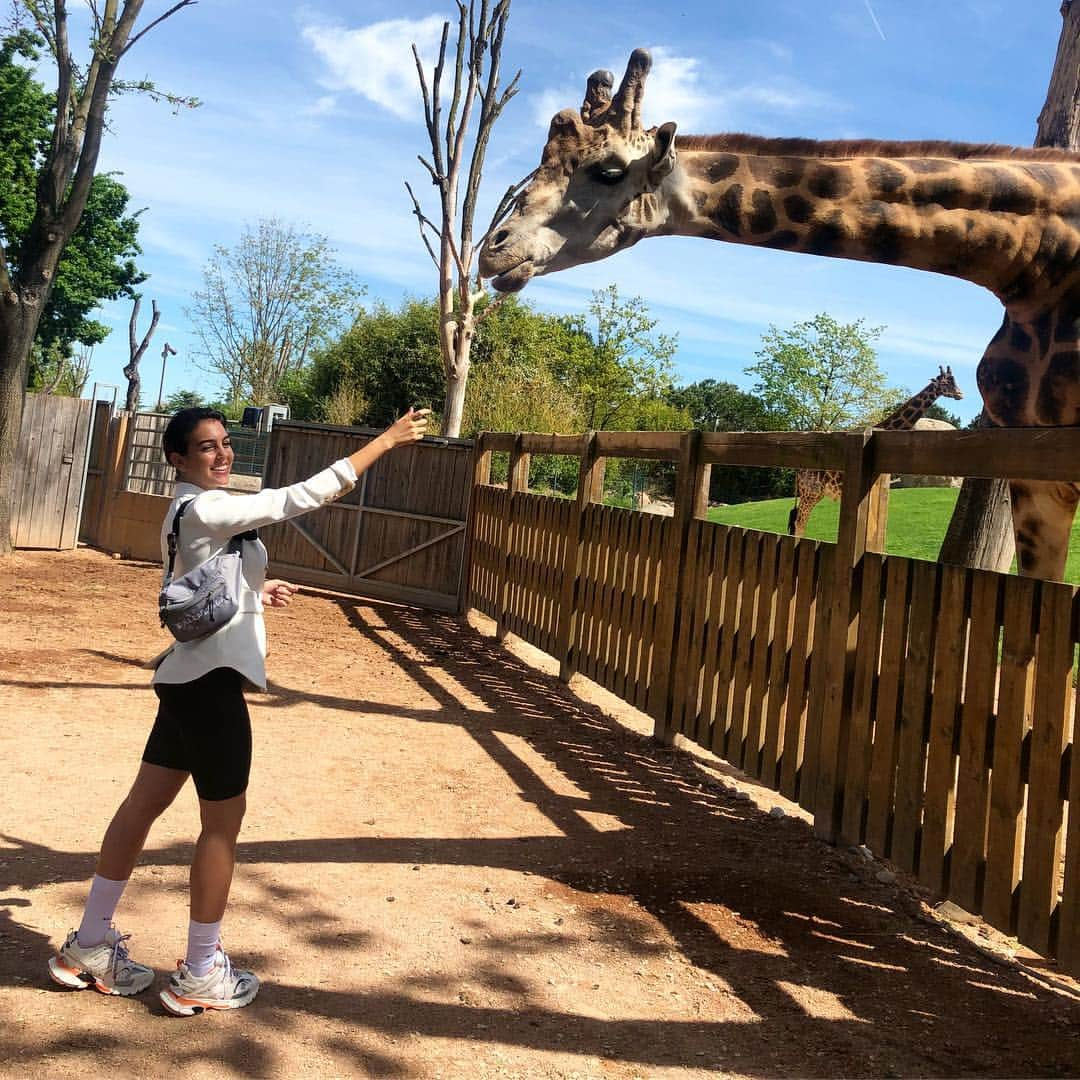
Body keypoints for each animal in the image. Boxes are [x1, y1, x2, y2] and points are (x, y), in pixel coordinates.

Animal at [786, 367, 963, 535]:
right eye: (945, 382)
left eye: (955, 380)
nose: (960, 394)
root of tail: (798, 471)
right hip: (810, 492)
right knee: (799, 523)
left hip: (814, 493)